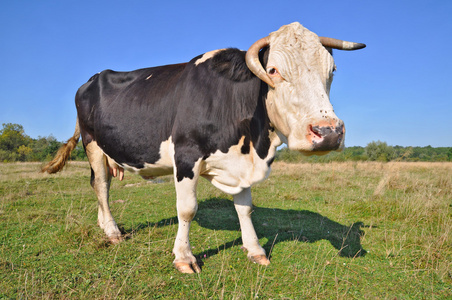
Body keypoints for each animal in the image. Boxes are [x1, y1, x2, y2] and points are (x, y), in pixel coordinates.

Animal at [42, 22, 366, 274]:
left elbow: (245, 208)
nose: (329, 132)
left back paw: (105, 224)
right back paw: (111, 232)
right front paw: (184, 257)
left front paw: (255, 250)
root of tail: (93, 78)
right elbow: (187, 209)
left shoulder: (243, 164)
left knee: (101, 186)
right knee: (101, 185)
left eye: (332, 70)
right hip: (93, 144)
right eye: (273, 70)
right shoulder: (186, 155)